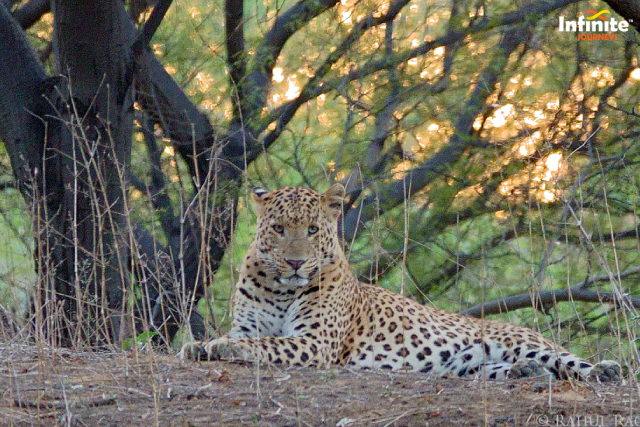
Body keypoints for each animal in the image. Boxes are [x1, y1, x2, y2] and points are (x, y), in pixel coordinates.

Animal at [179, 184, 621, 382]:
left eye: (312, 229)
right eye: (279, 229)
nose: (295, 261)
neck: (280, 286)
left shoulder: (315, 342)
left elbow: (268, 344)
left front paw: (225, 348)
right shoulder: (249, 323)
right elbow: (244, 335)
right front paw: (198, 345)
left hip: (523, 340)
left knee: (571, 361)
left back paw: (604, 370)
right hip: (466, 366)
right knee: (508, 369)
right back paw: (526, 373)